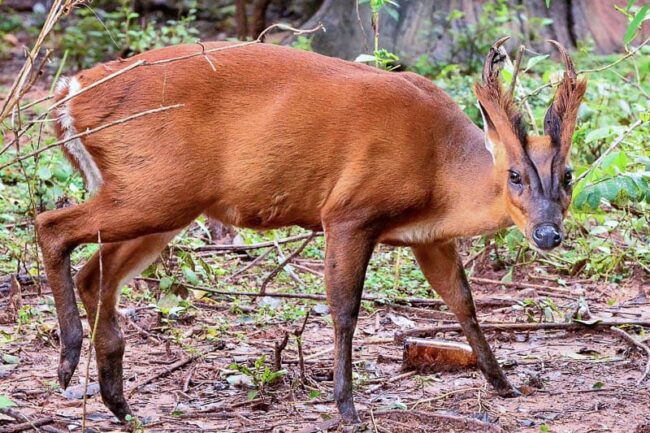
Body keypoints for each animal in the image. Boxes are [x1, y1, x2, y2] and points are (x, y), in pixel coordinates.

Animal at [38, 37, 584, 422]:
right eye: (514, 175)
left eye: (568, 175)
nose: (548, 235)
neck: (441, 170)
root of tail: (68, 94)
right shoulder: (348, 212)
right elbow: (345, 309)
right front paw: (346, 407)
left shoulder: (429, 239)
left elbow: (463, 301)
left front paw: (503, 383)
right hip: (158, 190)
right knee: (50, 225)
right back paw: (68, 360)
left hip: (158, 200)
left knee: (94, 273)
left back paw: (118, 401)